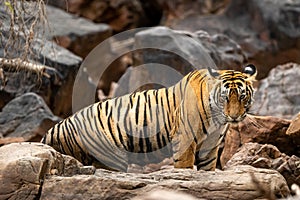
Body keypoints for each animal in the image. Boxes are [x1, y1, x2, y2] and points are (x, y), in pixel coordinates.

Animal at [41, 64, 258, 172]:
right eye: (225, 97)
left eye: (242, 96)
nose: (234, 117)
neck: (217, 119)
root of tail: (51, 131)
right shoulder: (185, 140)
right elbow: (185, 167)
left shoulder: (210, 146)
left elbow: (208, 170)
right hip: (110, 155)